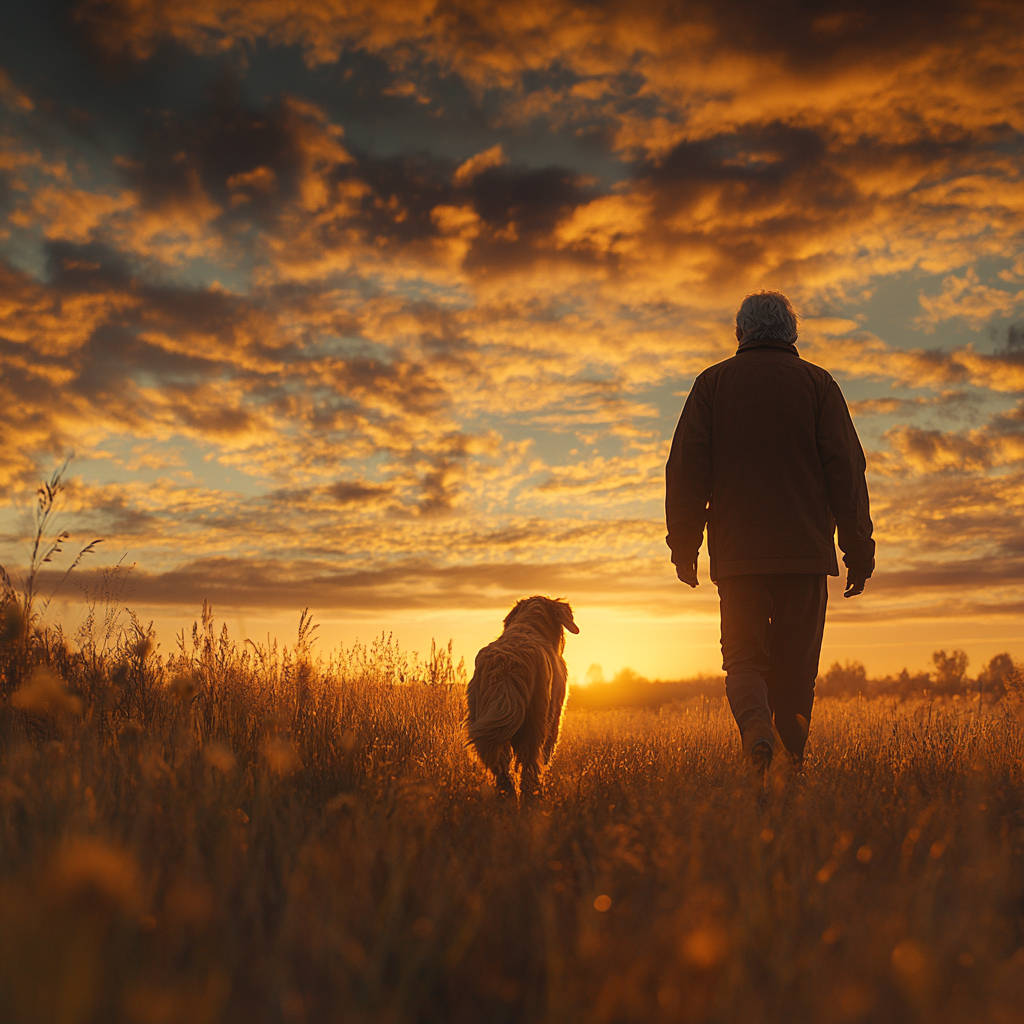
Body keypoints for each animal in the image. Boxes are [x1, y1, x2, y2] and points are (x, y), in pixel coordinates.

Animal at [464, 593, 577, 798]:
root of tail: (506, 663)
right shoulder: (555, 714)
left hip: (483, 716)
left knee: (499, 763)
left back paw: (506, 793)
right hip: (536, 719)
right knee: (529, 762)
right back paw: (531, 793)